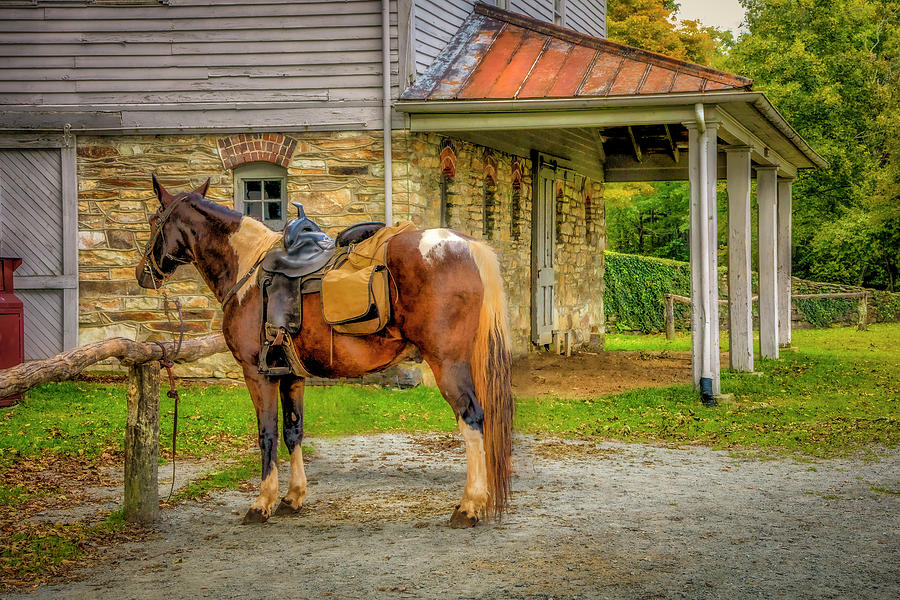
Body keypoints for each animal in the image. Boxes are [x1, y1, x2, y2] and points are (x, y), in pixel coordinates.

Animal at [135, 176, 514, 528]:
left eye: (155, 220)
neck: (248, 267)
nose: (143, 273)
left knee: (472, 418)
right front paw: (292, 497)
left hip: (447, 364)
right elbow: (293, 431)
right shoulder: (291, 375)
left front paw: (262, 503)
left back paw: (469, 506)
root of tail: (467, 245)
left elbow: (267, 435)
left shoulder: (256, 373)